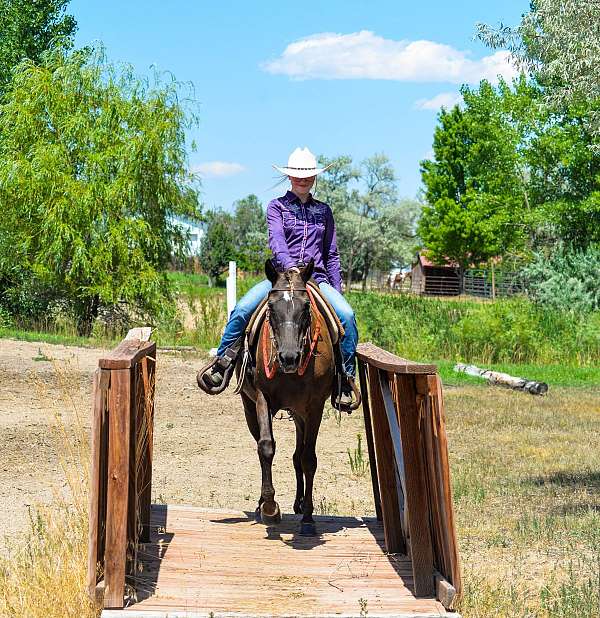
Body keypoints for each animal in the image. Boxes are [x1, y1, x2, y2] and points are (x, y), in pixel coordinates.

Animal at [237, 256, 336, 536]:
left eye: (306, 307)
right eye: (271, 307)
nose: (289, 358)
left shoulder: (315, 407)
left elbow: (308, 459)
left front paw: (309, 519)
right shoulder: (262, 398)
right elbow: (266, 447)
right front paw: (270, 507)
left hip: (301, 414)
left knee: (299, 455)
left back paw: (300, 504)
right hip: (250, 408)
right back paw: (262, 505)